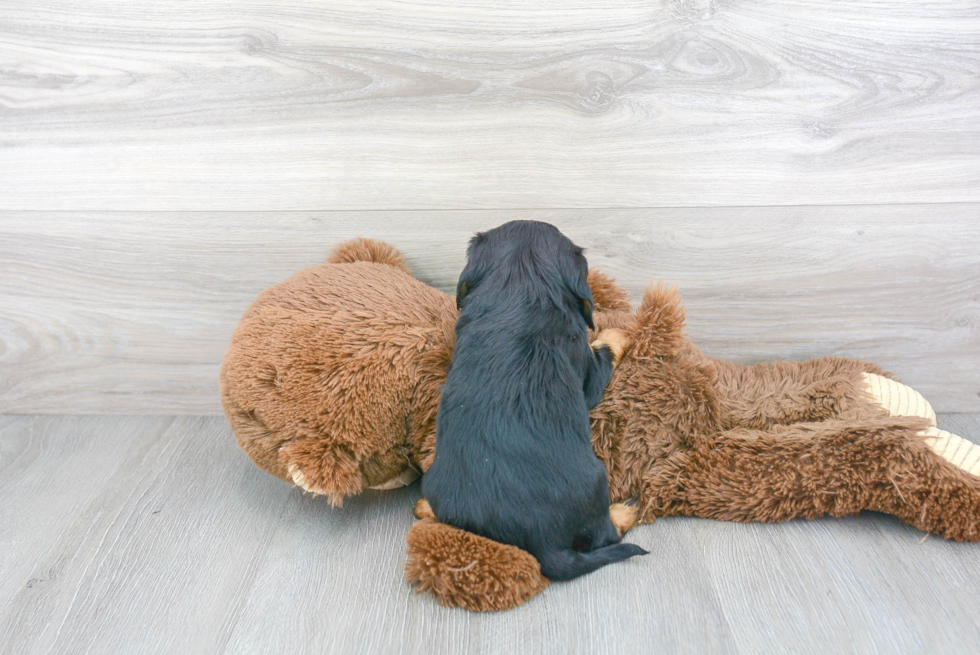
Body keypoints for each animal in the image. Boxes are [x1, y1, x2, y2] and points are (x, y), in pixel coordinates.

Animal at [420, 222, 644, 584]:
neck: (521, 287)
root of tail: (540, 544)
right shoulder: (587, 371)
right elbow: (605, 346)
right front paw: (621, 331)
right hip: (597, 482)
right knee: (604, 536)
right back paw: (626, 510)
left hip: (437, 483)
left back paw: (423, 506)